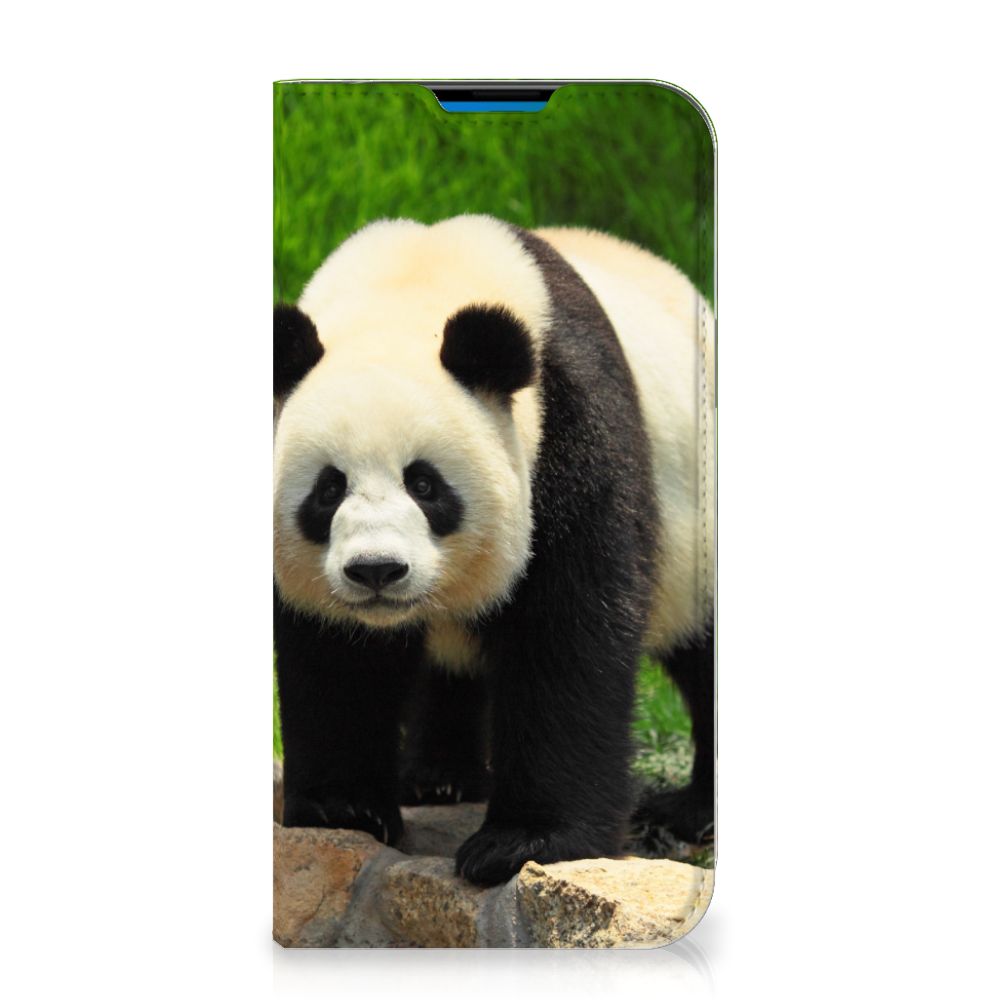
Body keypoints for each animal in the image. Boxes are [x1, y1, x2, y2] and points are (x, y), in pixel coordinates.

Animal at [273, 214, 715, 886]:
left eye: (425, 484)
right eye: (328, 489)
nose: (377, 571)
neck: (411, 287)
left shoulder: (570, 428)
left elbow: (567, 632)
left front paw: (525, 842)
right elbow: (333, 655)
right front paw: (341, 808)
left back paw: (693, 811)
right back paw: (438, 779)